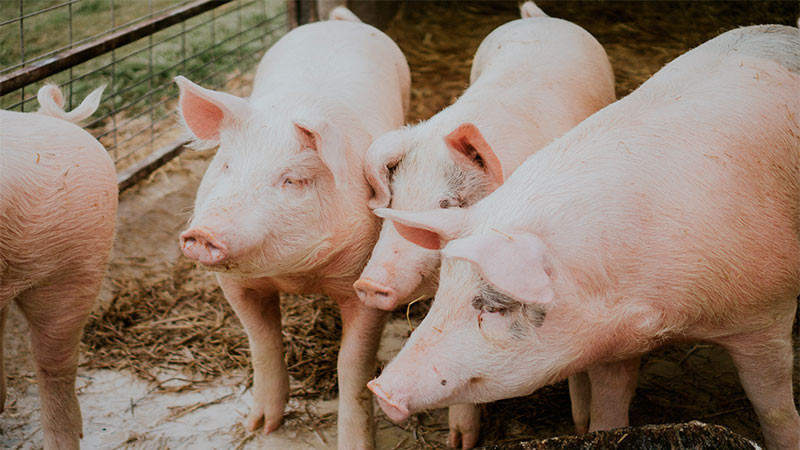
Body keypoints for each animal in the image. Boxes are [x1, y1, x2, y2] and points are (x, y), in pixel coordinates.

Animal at [176, 7, 409, 449]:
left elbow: (353, 366)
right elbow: (262, 343)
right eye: (226, 165)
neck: (297, 276)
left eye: (292, 180)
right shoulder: (234, 285)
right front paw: (260, 428)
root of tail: (335, 21)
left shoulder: (367, 283)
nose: (203, 233)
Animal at [354, 2, 615, 446]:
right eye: (395, 202)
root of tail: (539, 17)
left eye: (447, 203)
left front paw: (581, 425)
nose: (368, 284)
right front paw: (459, 441)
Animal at [369, 24, 800, 450]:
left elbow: (775, 408)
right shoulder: (612, 341)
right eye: (443, 294)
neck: (661, 317)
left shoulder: (767, 316)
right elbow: (609, 407)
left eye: (494, 308)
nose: (380, 388)